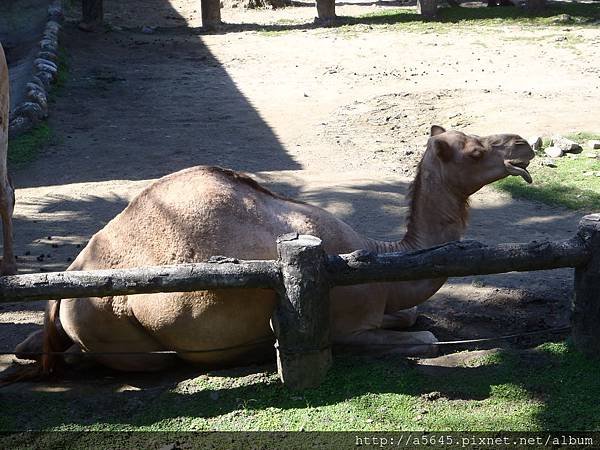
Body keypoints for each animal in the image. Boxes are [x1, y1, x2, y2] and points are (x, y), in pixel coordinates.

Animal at [14, 125, 532, 372]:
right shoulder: (346, 328)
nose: (523, 144)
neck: (373, 258)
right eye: (474, 151)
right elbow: (424, 338)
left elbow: (409, 316)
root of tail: (70, 282)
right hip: (123, 336)